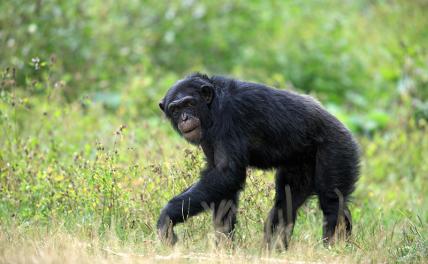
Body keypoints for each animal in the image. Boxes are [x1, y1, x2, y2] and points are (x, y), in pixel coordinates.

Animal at [156, 72, 358, 248]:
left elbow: (227, 174)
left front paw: (167, 218)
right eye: (175, 109)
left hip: (337, 149)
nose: (184, 117)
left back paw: (334, 248)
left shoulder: (228, 117)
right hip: (300, 166)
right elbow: (222, 186)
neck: (211, 109)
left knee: (332, 201)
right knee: (286, 204)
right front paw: (224, 246)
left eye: (189, 103)